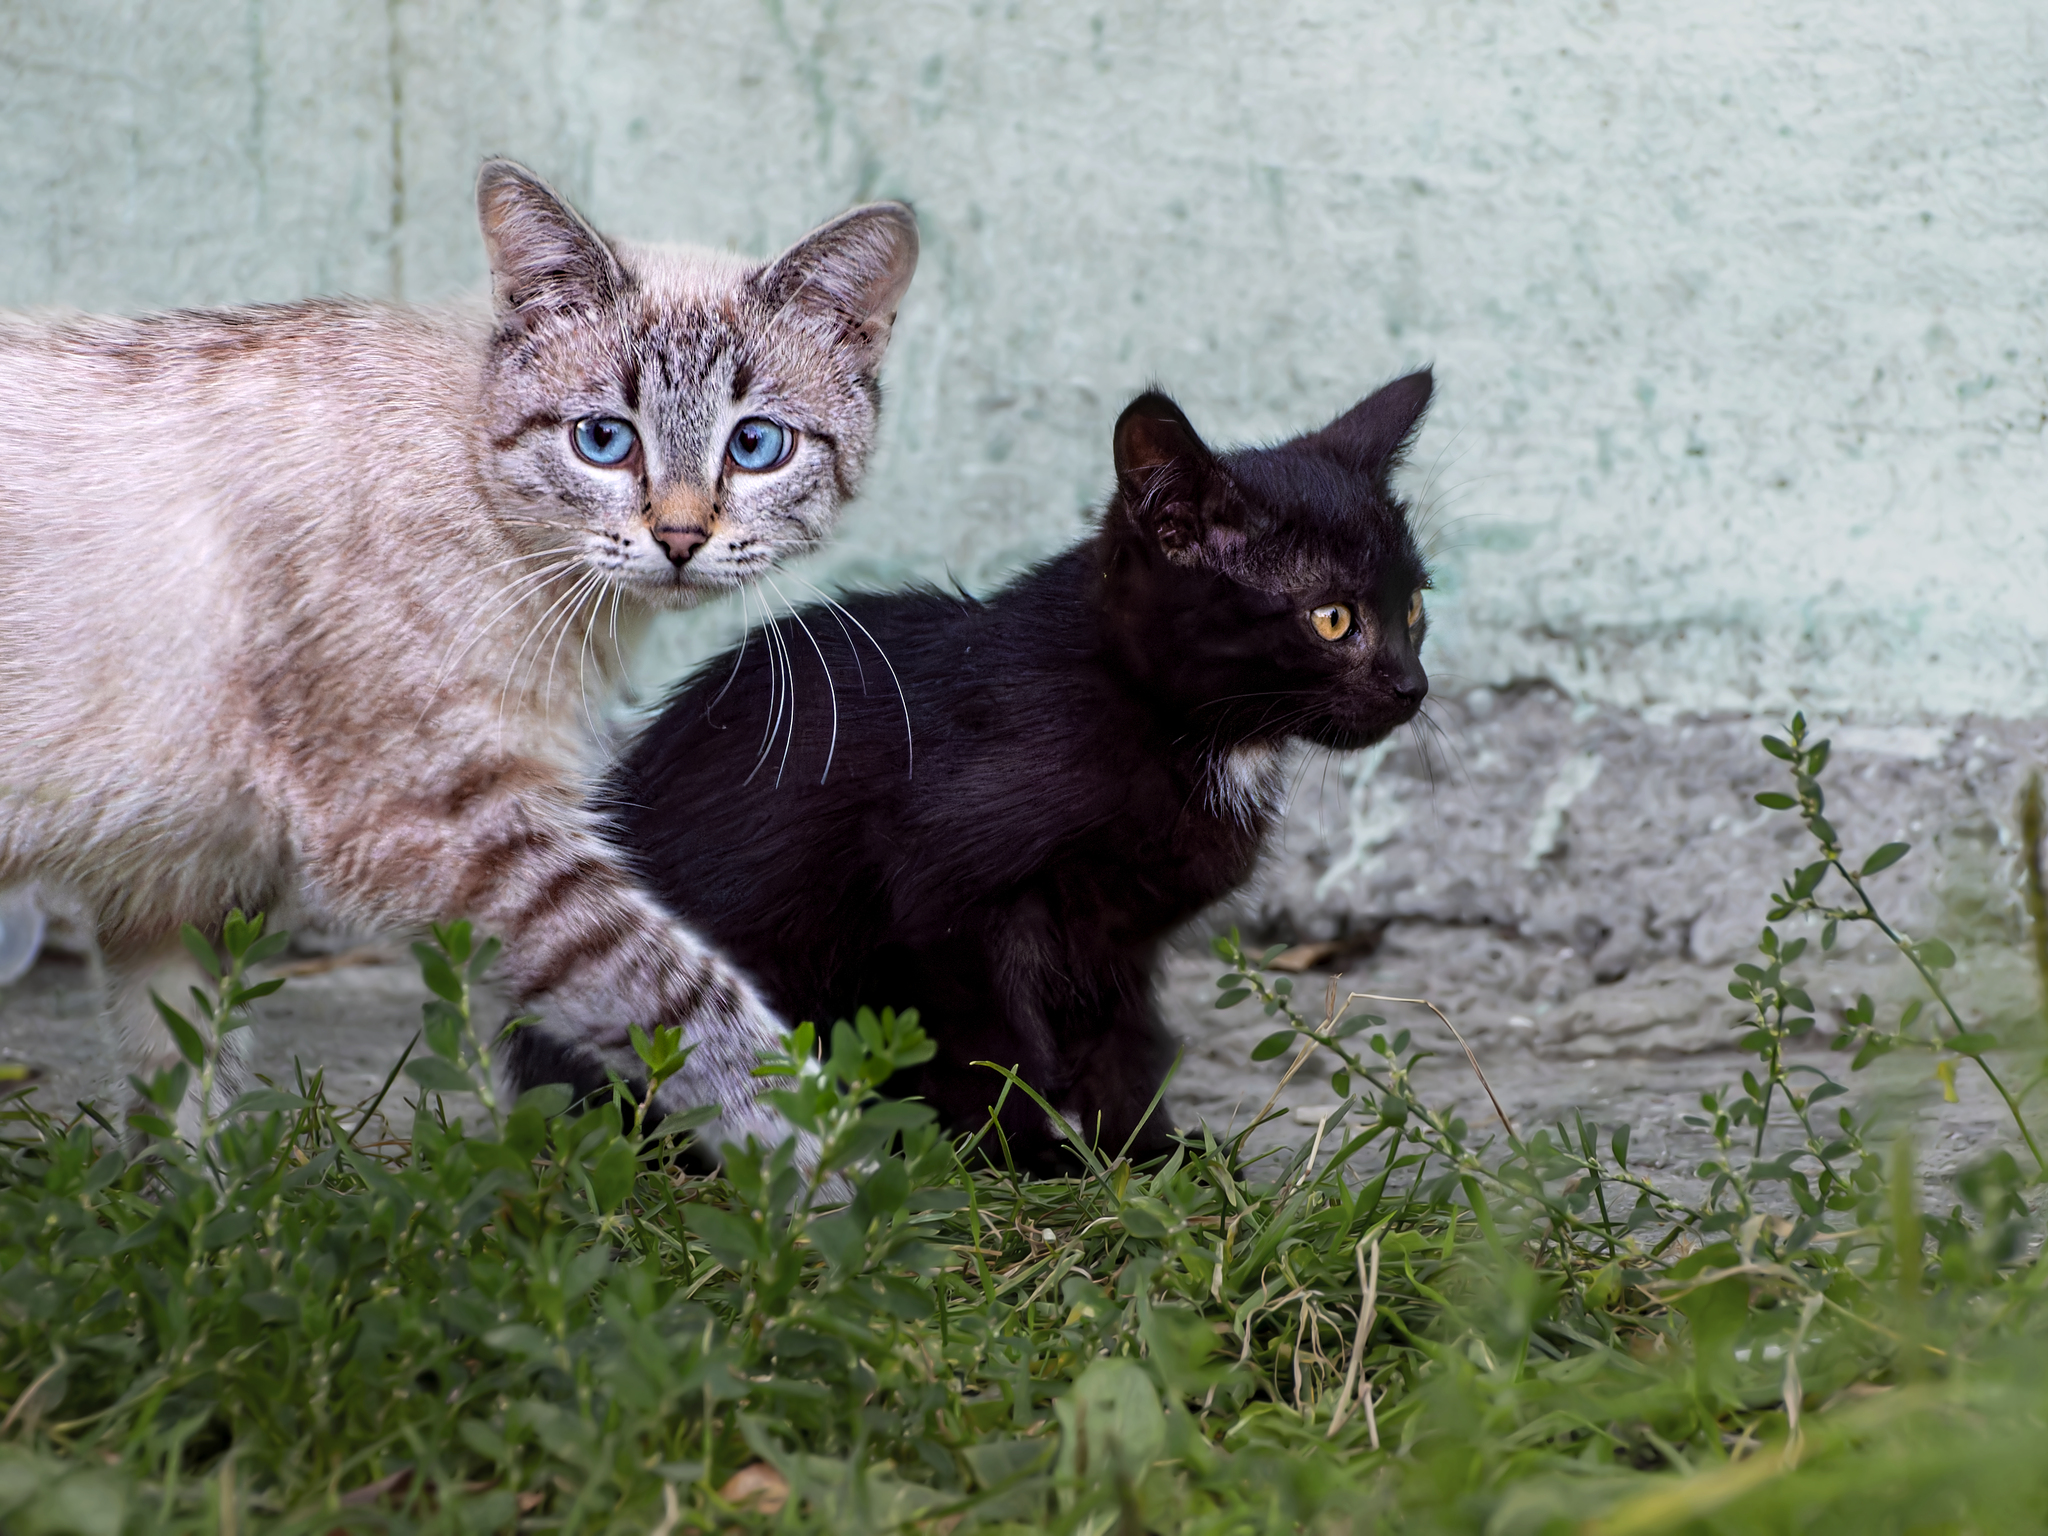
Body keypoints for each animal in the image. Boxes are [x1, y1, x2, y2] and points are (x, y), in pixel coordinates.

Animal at [598, 372, 1433, 1163]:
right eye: (1333, 620)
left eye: (1415, 609)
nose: (1412, 687)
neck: (1170, 723)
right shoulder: (945, 890)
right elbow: (993, 1039)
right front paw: (1027, 1153)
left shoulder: (1118, 935)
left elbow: (1126, 1040)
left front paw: (1145, 1153)